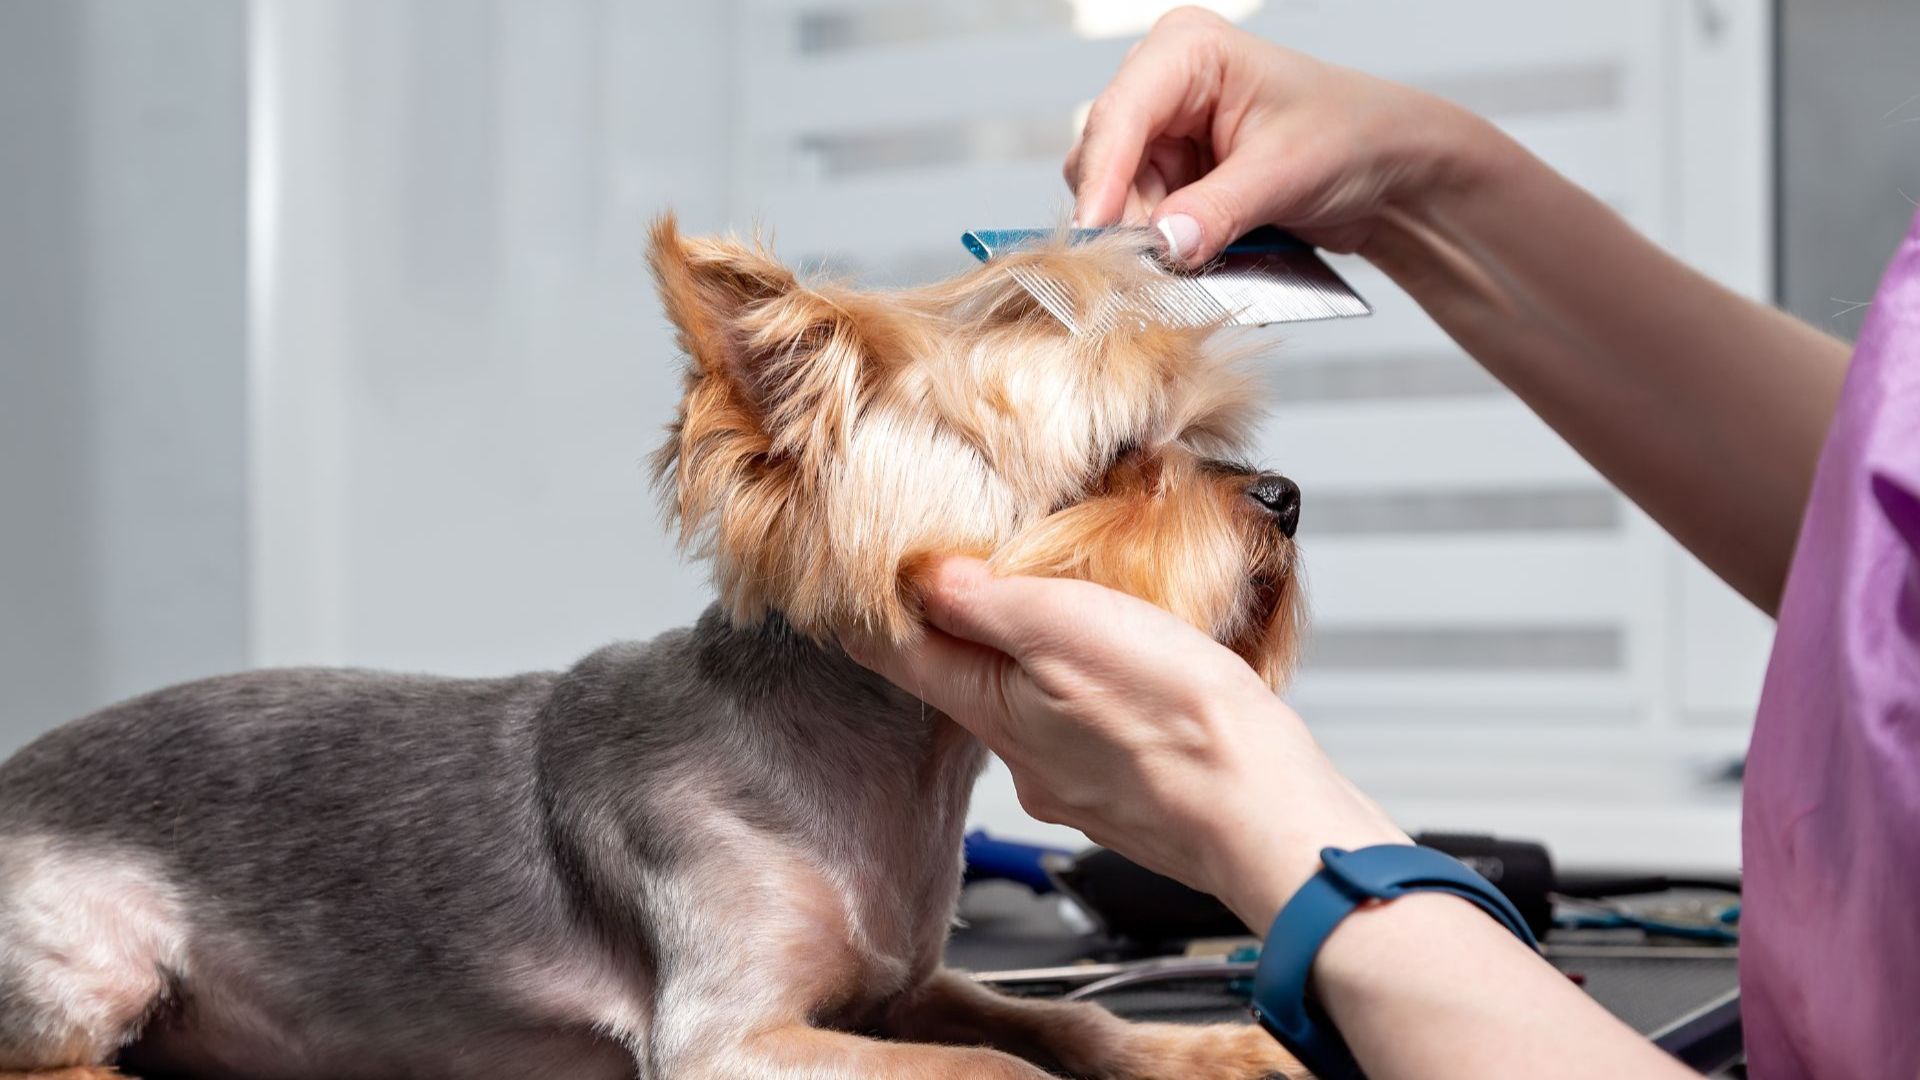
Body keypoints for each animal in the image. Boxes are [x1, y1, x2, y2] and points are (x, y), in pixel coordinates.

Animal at [0, 219, 1305, 1076]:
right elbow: (992, 1067)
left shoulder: (906, 987)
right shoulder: (736, 1040)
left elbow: (1049, 1018)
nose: (1285, 495)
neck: (889, 769)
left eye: (1204, 440)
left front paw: (1206, 1051)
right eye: (1116, 462)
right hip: (94, 960)